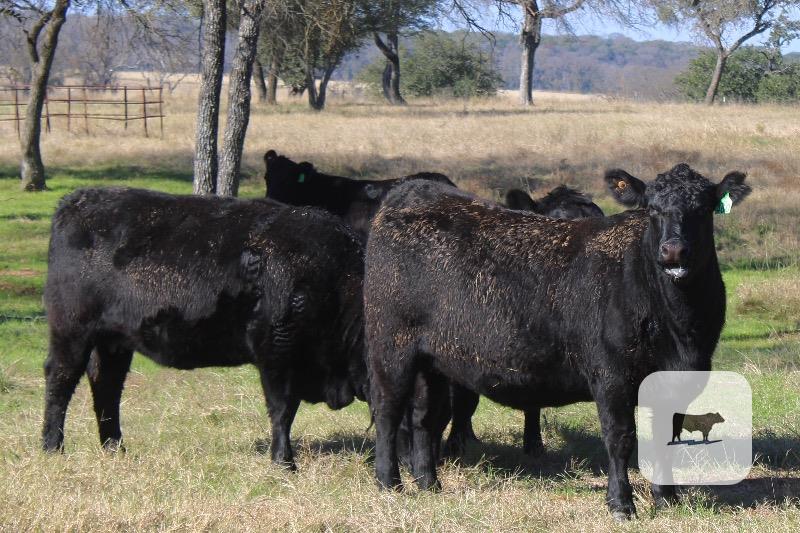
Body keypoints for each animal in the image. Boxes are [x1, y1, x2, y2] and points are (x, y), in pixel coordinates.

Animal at [42, 187, 366, 471]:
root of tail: (74, 201)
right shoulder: (277, 353)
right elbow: (283, 409)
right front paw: (284, 463)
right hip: (72, 332)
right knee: (61, 380)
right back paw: (53, 448)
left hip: (113, 341)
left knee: (106, 384)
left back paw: (115, 448)